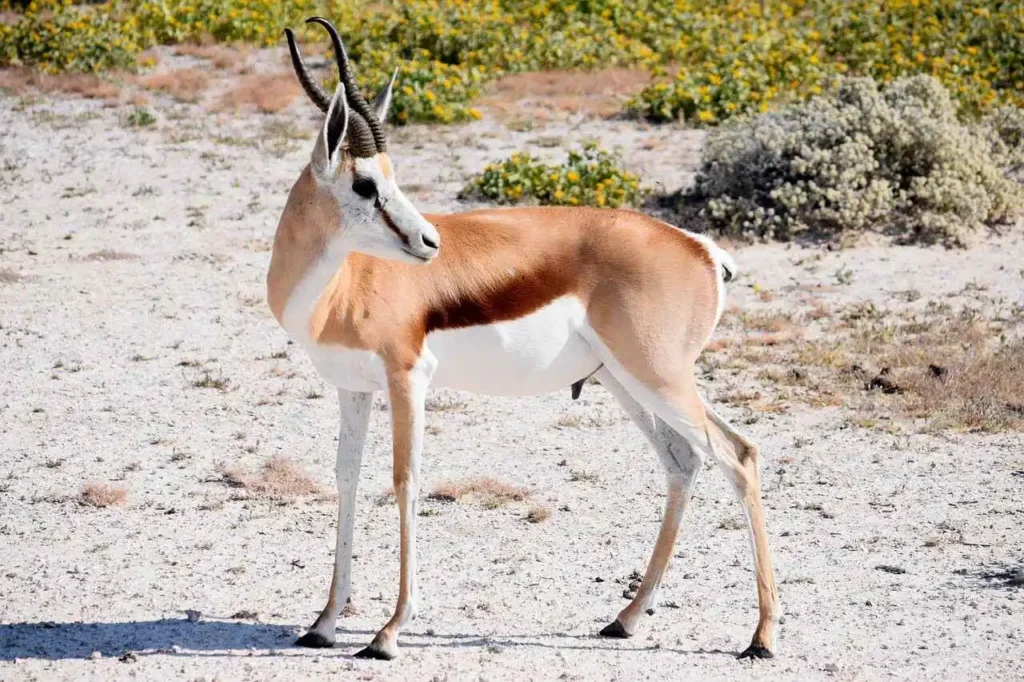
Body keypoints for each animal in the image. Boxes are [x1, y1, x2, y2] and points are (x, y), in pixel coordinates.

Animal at [266, 17, 779, 661]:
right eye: (364, 184)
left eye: (389, 179)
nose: (430, 243)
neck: (346, 282)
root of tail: (700, 248)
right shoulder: (352, 388)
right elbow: (347, 479)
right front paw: (324, 623)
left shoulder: (408, 379)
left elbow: (406, 482)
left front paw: (387, 633)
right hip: (627, 381)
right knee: (685, 461)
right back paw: (626, 619)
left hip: (657, 376)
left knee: (740, 456)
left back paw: (761, 637)